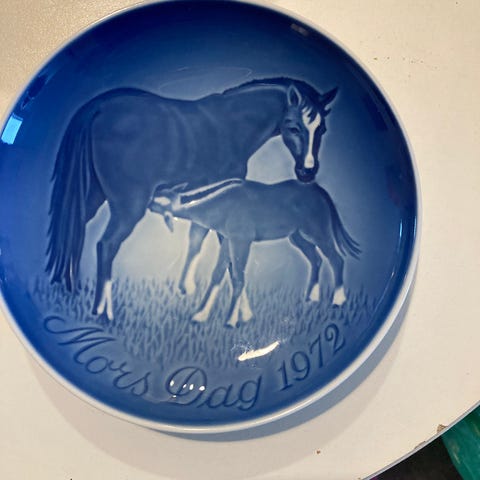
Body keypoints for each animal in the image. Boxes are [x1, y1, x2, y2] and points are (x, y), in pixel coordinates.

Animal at [46, 78, 337, 320]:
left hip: (92, 197)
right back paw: (104, 312)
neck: (229, 125)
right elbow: (229, 259)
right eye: (293, 127)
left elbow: (197, 238)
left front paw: (186, 289)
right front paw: (240, 312)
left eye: (322, 128)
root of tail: (100, 108)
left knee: (76, 232)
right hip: (129, 206)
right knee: (106, 245)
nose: (307, 172)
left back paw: (72, 289)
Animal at [150, 179, 360, 327]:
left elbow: (238, 278)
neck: (223, 202)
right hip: (298, 237)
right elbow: (217, 275)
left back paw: (338, 300)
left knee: (336, 259)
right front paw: (200, 315)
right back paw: (311, 298)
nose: (149, 205)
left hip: (318, 233)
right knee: (316, 260)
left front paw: (231, 321)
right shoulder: (228, 240)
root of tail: (318, 190)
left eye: (160, 201)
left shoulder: (241, 241)